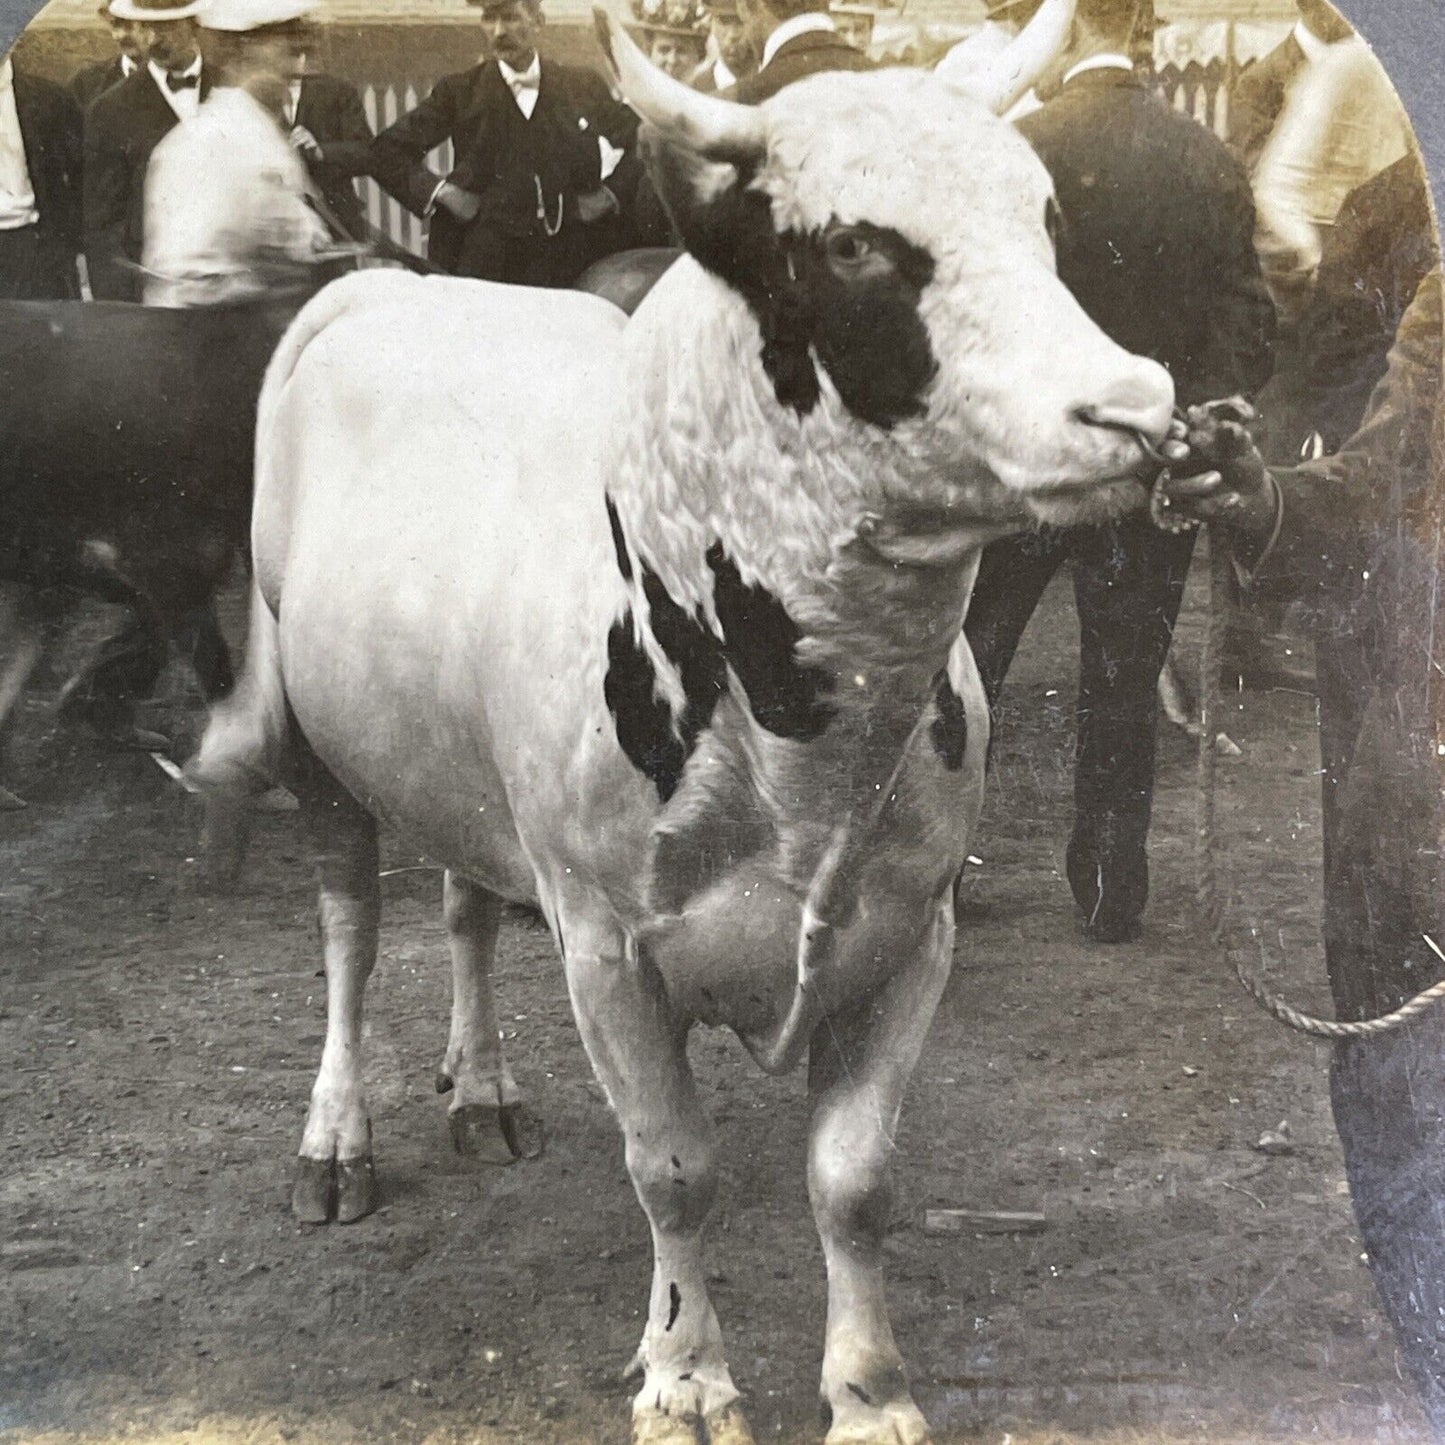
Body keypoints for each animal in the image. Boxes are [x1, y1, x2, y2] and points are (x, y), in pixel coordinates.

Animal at [195, 14, 1173, 1445]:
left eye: (1044, 216)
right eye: (850, 245)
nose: (1137, 407)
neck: (803, 743)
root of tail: (385, 287)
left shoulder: (914, 928)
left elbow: (855, 1176)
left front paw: (868, 1386)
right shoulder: (607, 944)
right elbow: (671, 1170)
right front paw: (686, 1374)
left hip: (461, 769)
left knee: (464, 903)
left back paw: (481, 1087)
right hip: (321, 748)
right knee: (350, 930)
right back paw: (336, 1137)